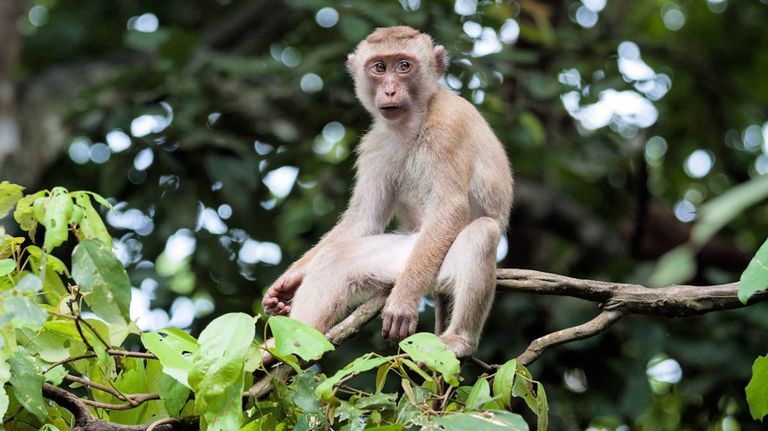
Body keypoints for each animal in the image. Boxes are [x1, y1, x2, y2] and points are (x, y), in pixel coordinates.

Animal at [262, 26, 513, 358]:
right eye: (379, 67)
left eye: (404, 66)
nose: (390, 90)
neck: (412, 123)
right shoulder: (375, 145)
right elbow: (363, 220)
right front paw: (289, 281)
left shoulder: (449, 125)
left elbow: (451, 208)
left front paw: (403, 303)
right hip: (403, 257)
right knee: (337, 259)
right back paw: (291, 345)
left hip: (432, 263)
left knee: (482, 233)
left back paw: (460, 339)